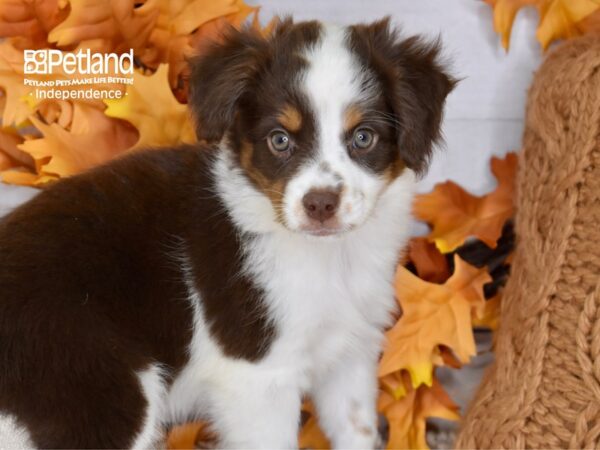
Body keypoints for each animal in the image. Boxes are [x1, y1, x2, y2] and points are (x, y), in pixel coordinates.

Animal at [0, 17, 452, 450]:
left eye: (363, 137)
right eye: (279, 140)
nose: (320, 205)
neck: (328, 256)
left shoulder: (348, 350)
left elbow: (356, 429)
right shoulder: (259, 375)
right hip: (99, 392)